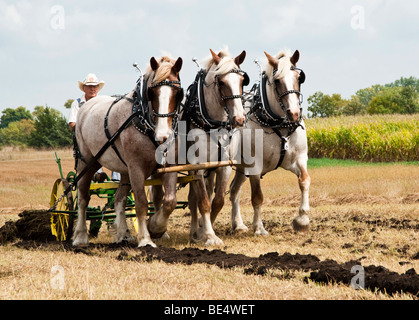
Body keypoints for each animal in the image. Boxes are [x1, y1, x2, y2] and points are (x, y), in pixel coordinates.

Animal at [72, 55, 184, 248]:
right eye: (152, 93)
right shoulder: (136, 168)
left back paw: (123, 235)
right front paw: (146, 239)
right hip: (87, 163)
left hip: (124, 170)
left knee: (119, 199)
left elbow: (169, 201)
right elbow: (141, 203)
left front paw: (157, 228)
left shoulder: (169, 166)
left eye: (178, 93)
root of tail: (88, 105)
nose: (163, 136)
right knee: (83, 197)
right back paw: (80, 237)